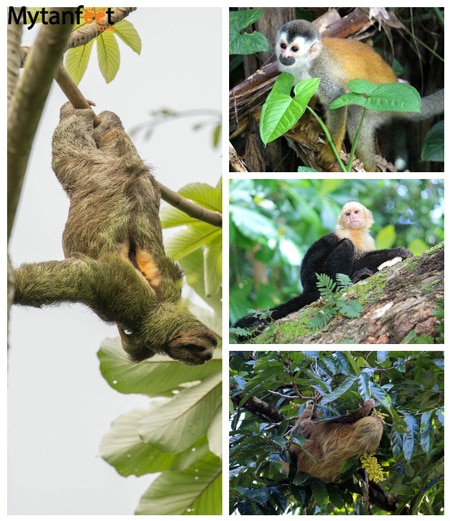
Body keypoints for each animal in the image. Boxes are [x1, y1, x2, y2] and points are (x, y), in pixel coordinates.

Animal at [234, 201, 414, 336]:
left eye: (356, 212)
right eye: (347, 214)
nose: (352, 217)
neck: (356, 232)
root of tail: (308, 290)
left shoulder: (368, 240)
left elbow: (363, 260)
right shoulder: (343, 233)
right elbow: (322, 255)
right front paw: (396, 252)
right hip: (320, 279)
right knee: (345, 247)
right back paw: (348, 282)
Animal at [276, 19, 444, 171]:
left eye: (294, 49)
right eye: (283, 46)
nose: (284, 56)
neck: (306, 62)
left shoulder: (319, 70)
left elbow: (336, 96)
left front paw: (331, 151)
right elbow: (306, 93)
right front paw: (303, 120)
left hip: (376, 103)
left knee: (354, 115)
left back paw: (369, 168)